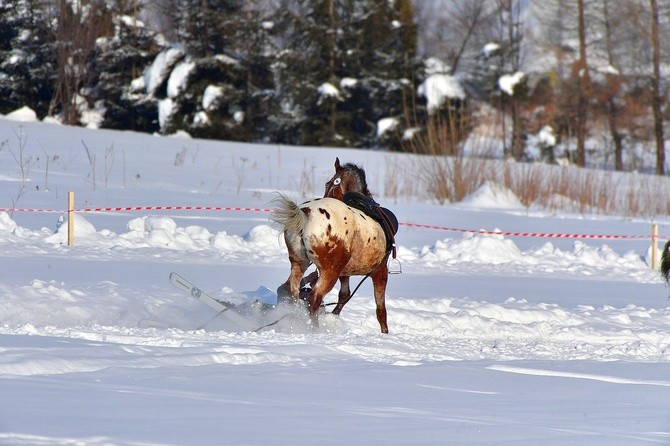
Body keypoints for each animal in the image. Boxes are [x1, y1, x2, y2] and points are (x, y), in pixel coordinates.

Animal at [272, 159, 392, 332]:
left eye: (329, 183)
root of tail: (305, 212)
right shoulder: (380, 271)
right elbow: (381, 310)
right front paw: (385, 333)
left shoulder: (345, 272)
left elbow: (344, 295)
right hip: (330, 271)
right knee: (314, 298)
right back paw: (315, 329)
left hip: (299, 262)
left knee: (291, 289)